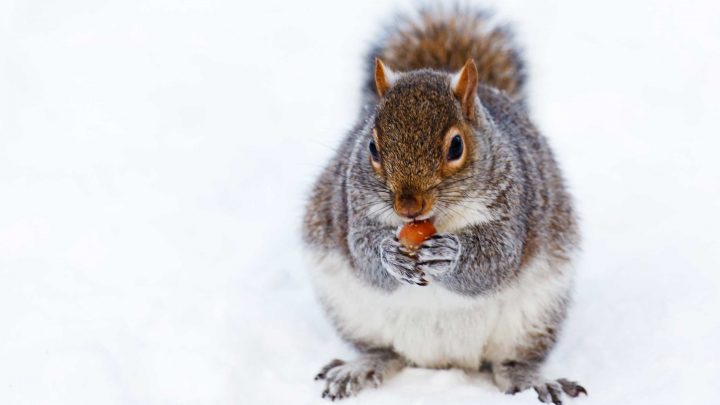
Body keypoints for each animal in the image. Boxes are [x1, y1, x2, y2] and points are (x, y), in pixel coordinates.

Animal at [300, 7, 588, 402]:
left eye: (456, 147)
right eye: (372, 147)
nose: (408, 206)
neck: (436, 220)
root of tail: (442, 360)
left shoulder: (515, 207)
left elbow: (496, 259)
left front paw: (450, 254)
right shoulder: (352, 206)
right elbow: (362, 253)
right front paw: (388, 255)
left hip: (535, 316)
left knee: (510, 363)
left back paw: (533, 380)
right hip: (351, 311)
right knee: (385, 351)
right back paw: (360, 367)